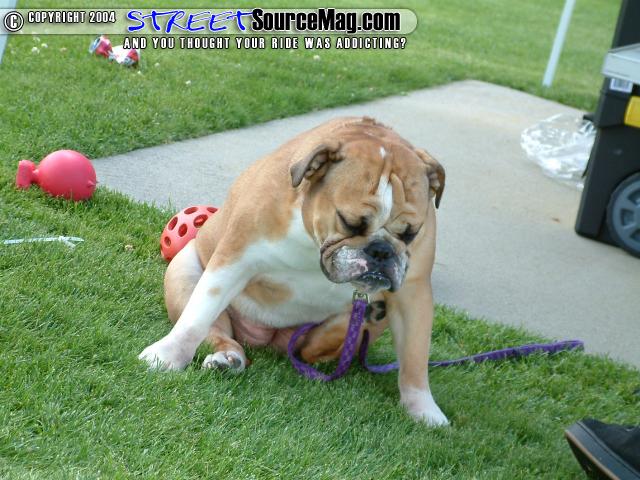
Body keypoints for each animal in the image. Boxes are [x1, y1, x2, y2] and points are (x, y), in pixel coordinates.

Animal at [139, 116, 448, 426]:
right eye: (349, 223)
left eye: (410, 233)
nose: (381, 251)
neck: (313, 238)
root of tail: (267, 339)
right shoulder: (234, 259)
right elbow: (196, 319)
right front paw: (167, 355)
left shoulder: (413, 294)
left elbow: (415, 357)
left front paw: (423, 408)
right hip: (183, 270)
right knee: (220, 334)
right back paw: (227, 359)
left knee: (312, 350)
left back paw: (364, 317)